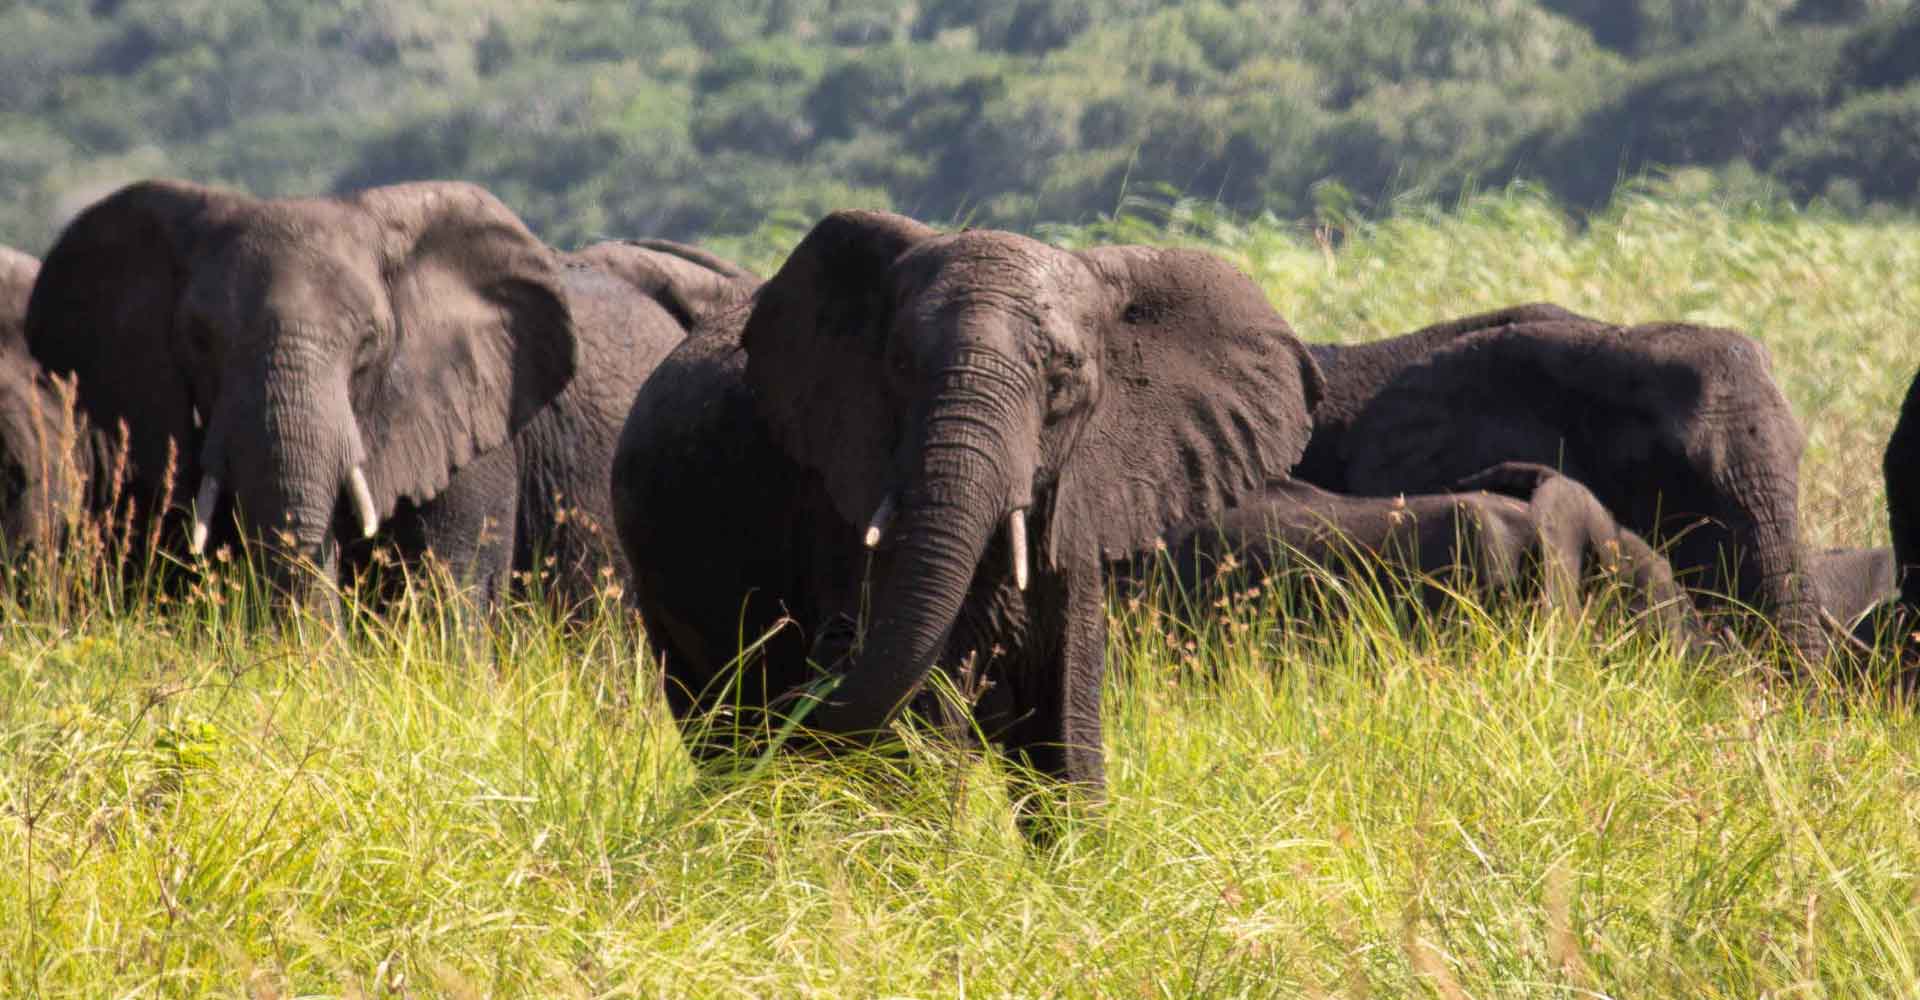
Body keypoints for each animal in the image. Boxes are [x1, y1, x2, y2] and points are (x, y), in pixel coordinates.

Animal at [614, 208, 1320, 794]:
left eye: (1063, 377)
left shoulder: (1080, 504)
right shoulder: (837, 501)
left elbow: (1065, 732)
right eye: (899, 366)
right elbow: (916, 721)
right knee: (717, 722)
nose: (834, 634)